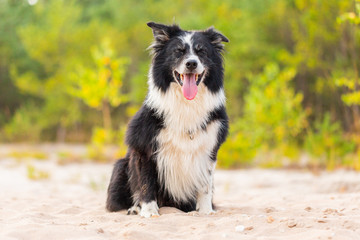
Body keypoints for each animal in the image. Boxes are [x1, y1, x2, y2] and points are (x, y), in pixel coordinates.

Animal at [106, 22, 228, 218]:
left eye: (201, 52)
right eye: (178, 51)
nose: (191, 63)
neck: (186, 104)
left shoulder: (209, 150)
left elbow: (205, 185)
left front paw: (205, 211)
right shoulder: (144, 148)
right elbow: (146, 183)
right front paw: (149, 212)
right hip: (120, 167)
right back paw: (135, 208)